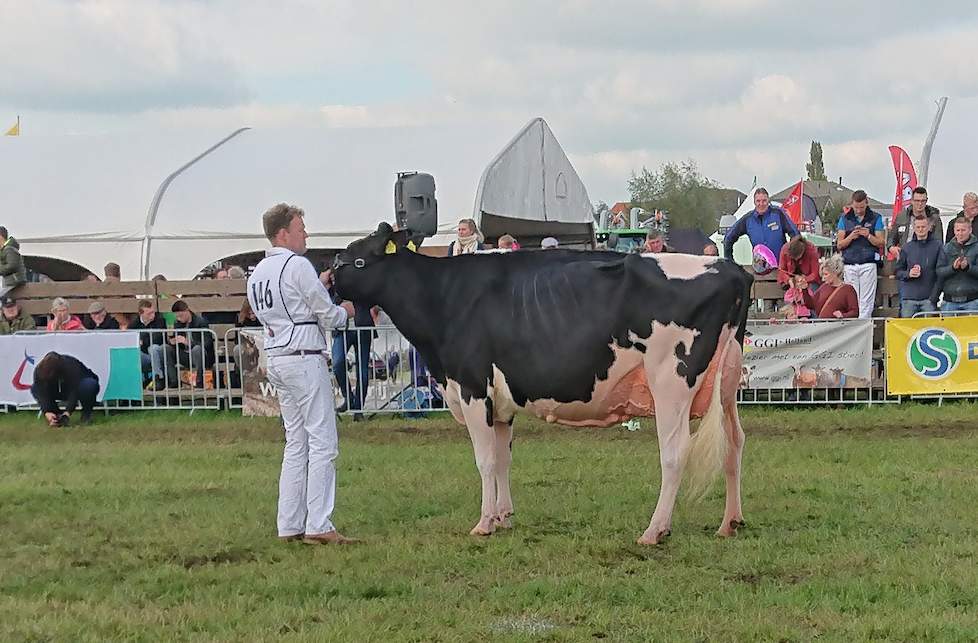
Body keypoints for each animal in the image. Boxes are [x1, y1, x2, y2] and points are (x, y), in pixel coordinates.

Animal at [332, 224, 752, 544]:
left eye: (357, 259)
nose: (329, 279)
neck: (445, 297)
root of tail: (732, 269)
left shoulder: (472, 387)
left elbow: (484, 460)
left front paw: (483, 524)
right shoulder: (500, 403)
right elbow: (503, 458)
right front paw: (504, 517)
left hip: (671, 381)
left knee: (675, 451)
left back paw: (655, 530)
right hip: (727, 382)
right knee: (734, 442)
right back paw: (730, 522)